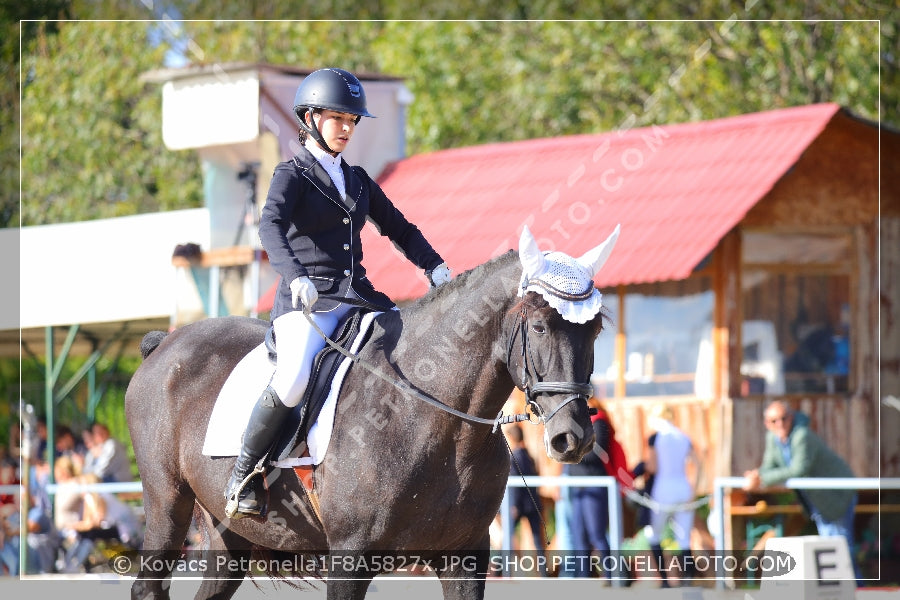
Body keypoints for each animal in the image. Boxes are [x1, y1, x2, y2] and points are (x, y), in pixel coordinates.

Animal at [125, 226, 620, 600]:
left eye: (595, 329)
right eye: (538, 326)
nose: (574, 437)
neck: (439, 426)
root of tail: (165, 343)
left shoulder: (465, 556)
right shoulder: (350, 557)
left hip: (230, 544)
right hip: (167, 502)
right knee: (148, 585)